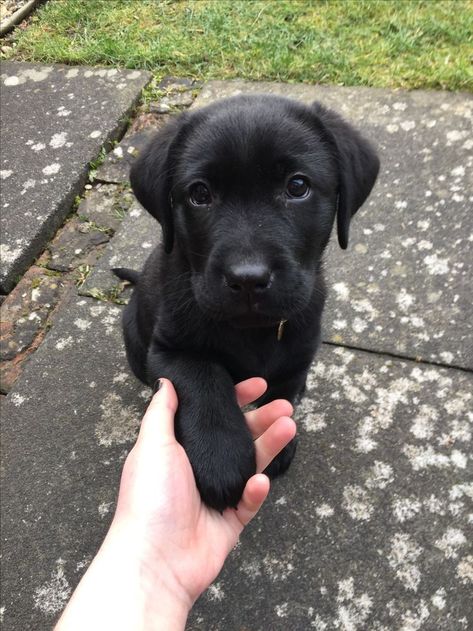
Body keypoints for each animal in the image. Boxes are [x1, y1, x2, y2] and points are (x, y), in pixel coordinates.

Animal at [119, 94, 380, 512]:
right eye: (200, 194)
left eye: (297, 186)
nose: (247, 279)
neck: (252, 331)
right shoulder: (169, 350)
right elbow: (203, 378)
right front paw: (220, 457)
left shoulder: (295, 356)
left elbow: (283, 401)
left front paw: (281, 442)